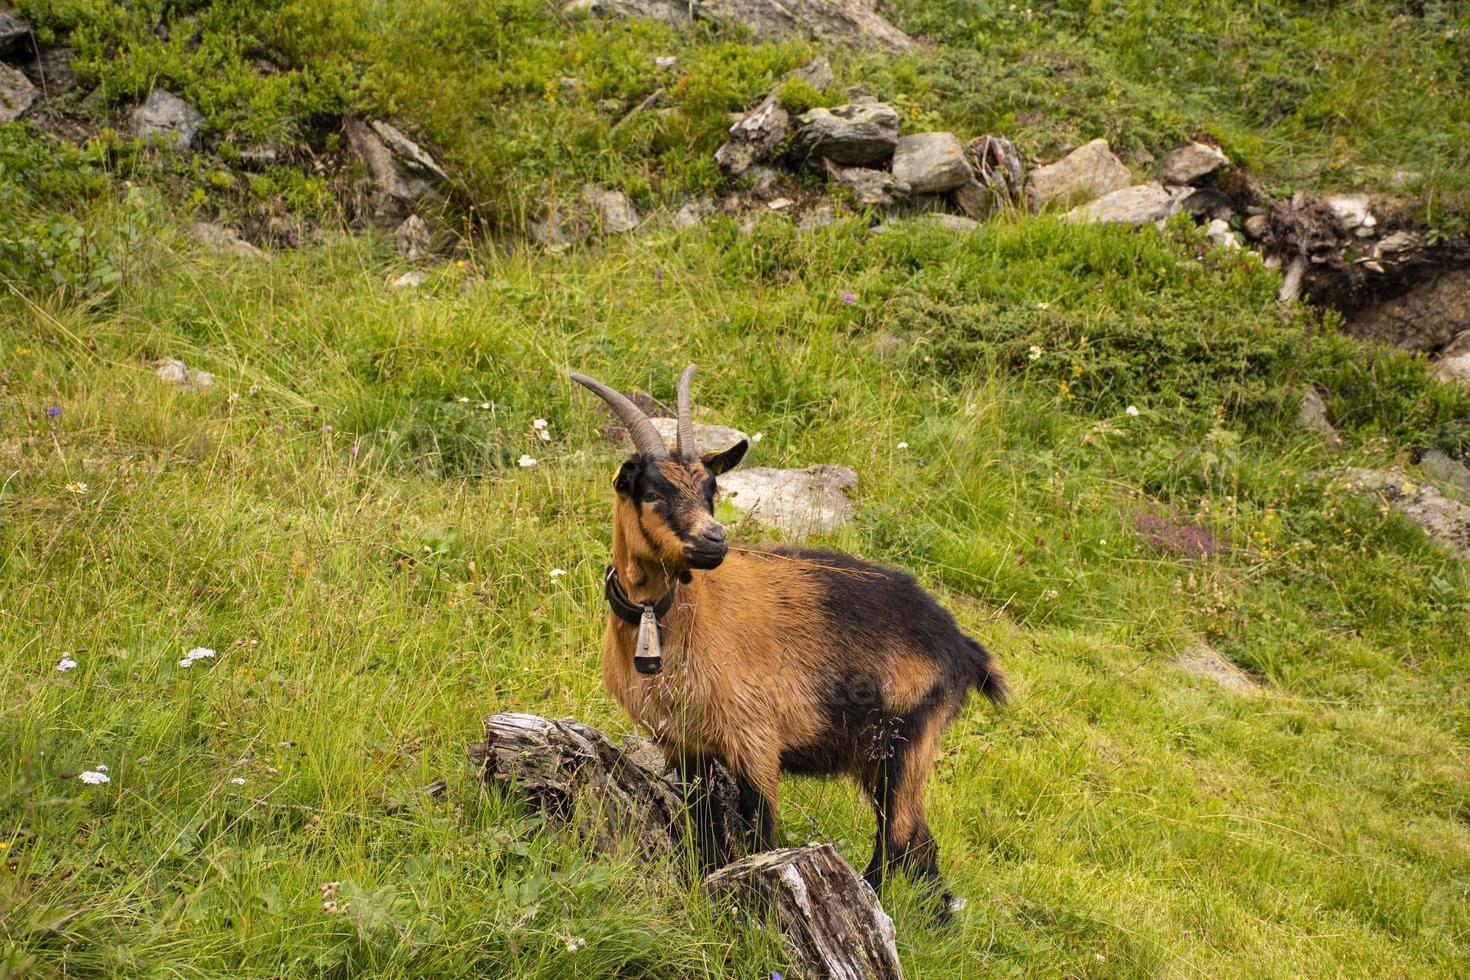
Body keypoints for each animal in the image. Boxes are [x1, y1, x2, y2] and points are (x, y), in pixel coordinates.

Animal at [567, 362, 1005, 910]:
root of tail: (960, 645)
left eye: (711, 490)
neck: (677, 620)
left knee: (898, 841)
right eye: (652, 492)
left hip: (905, 742)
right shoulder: (683, 742)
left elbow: (762, 833)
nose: (714, 540)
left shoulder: (755, 735)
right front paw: (705, 889)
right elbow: (704, 828)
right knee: (922, 847)